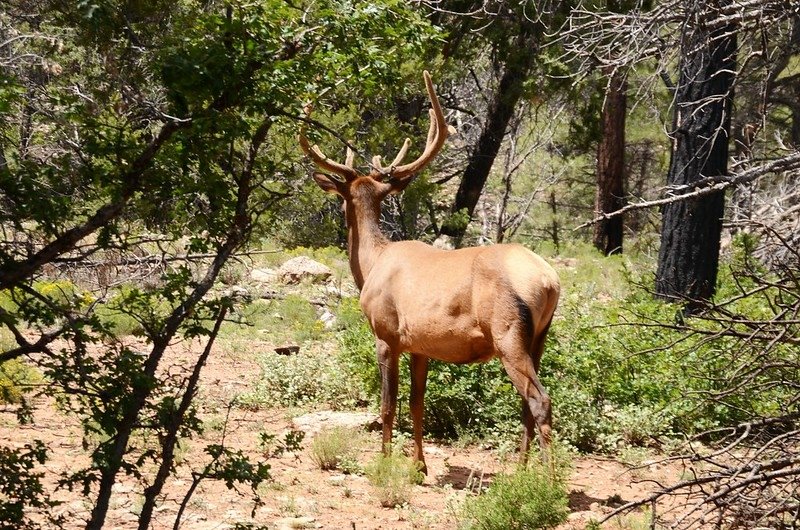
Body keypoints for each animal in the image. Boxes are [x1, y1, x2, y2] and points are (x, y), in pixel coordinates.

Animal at [302, 70, 564, 470]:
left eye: (343, 200)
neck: (372, 264)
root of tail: (549, 280)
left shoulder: (386, 332)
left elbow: (387, 405)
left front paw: (384, 463)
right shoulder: (420, 345)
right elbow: (417, 403)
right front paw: (419, 466)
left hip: (508, 333)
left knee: (540, 399)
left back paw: (546, 479)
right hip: (540, 336)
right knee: (527, 403)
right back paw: (519, 472)